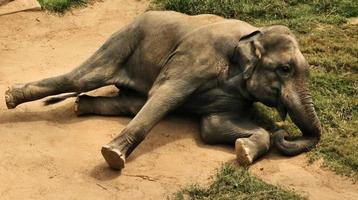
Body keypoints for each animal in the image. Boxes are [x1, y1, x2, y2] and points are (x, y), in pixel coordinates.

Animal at [4, 10, 322, 170]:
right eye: (285, 69)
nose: (284, 131)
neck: (256, 33)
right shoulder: (196, 57)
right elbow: (166, 95)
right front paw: (113, 157)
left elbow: (212, 127)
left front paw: (244, 151)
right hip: (123, 41)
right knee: (82, 78)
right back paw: (10, 97)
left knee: (129, 103)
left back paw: (81, 106)